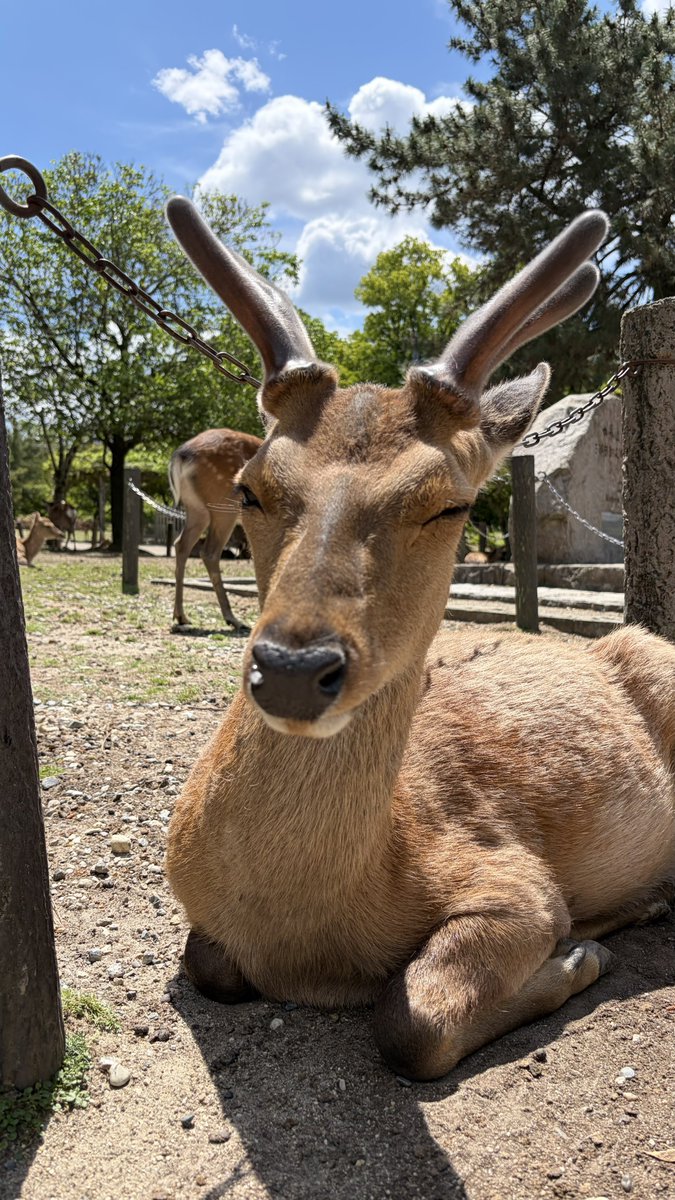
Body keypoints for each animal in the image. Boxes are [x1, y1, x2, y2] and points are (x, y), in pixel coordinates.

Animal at [168, 428, 263, 633]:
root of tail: (181, 455)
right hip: (224, 505)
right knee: (209, 552)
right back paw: (234, 619)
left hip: (197, 509)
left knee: (181, 544)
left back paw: (181, 616)